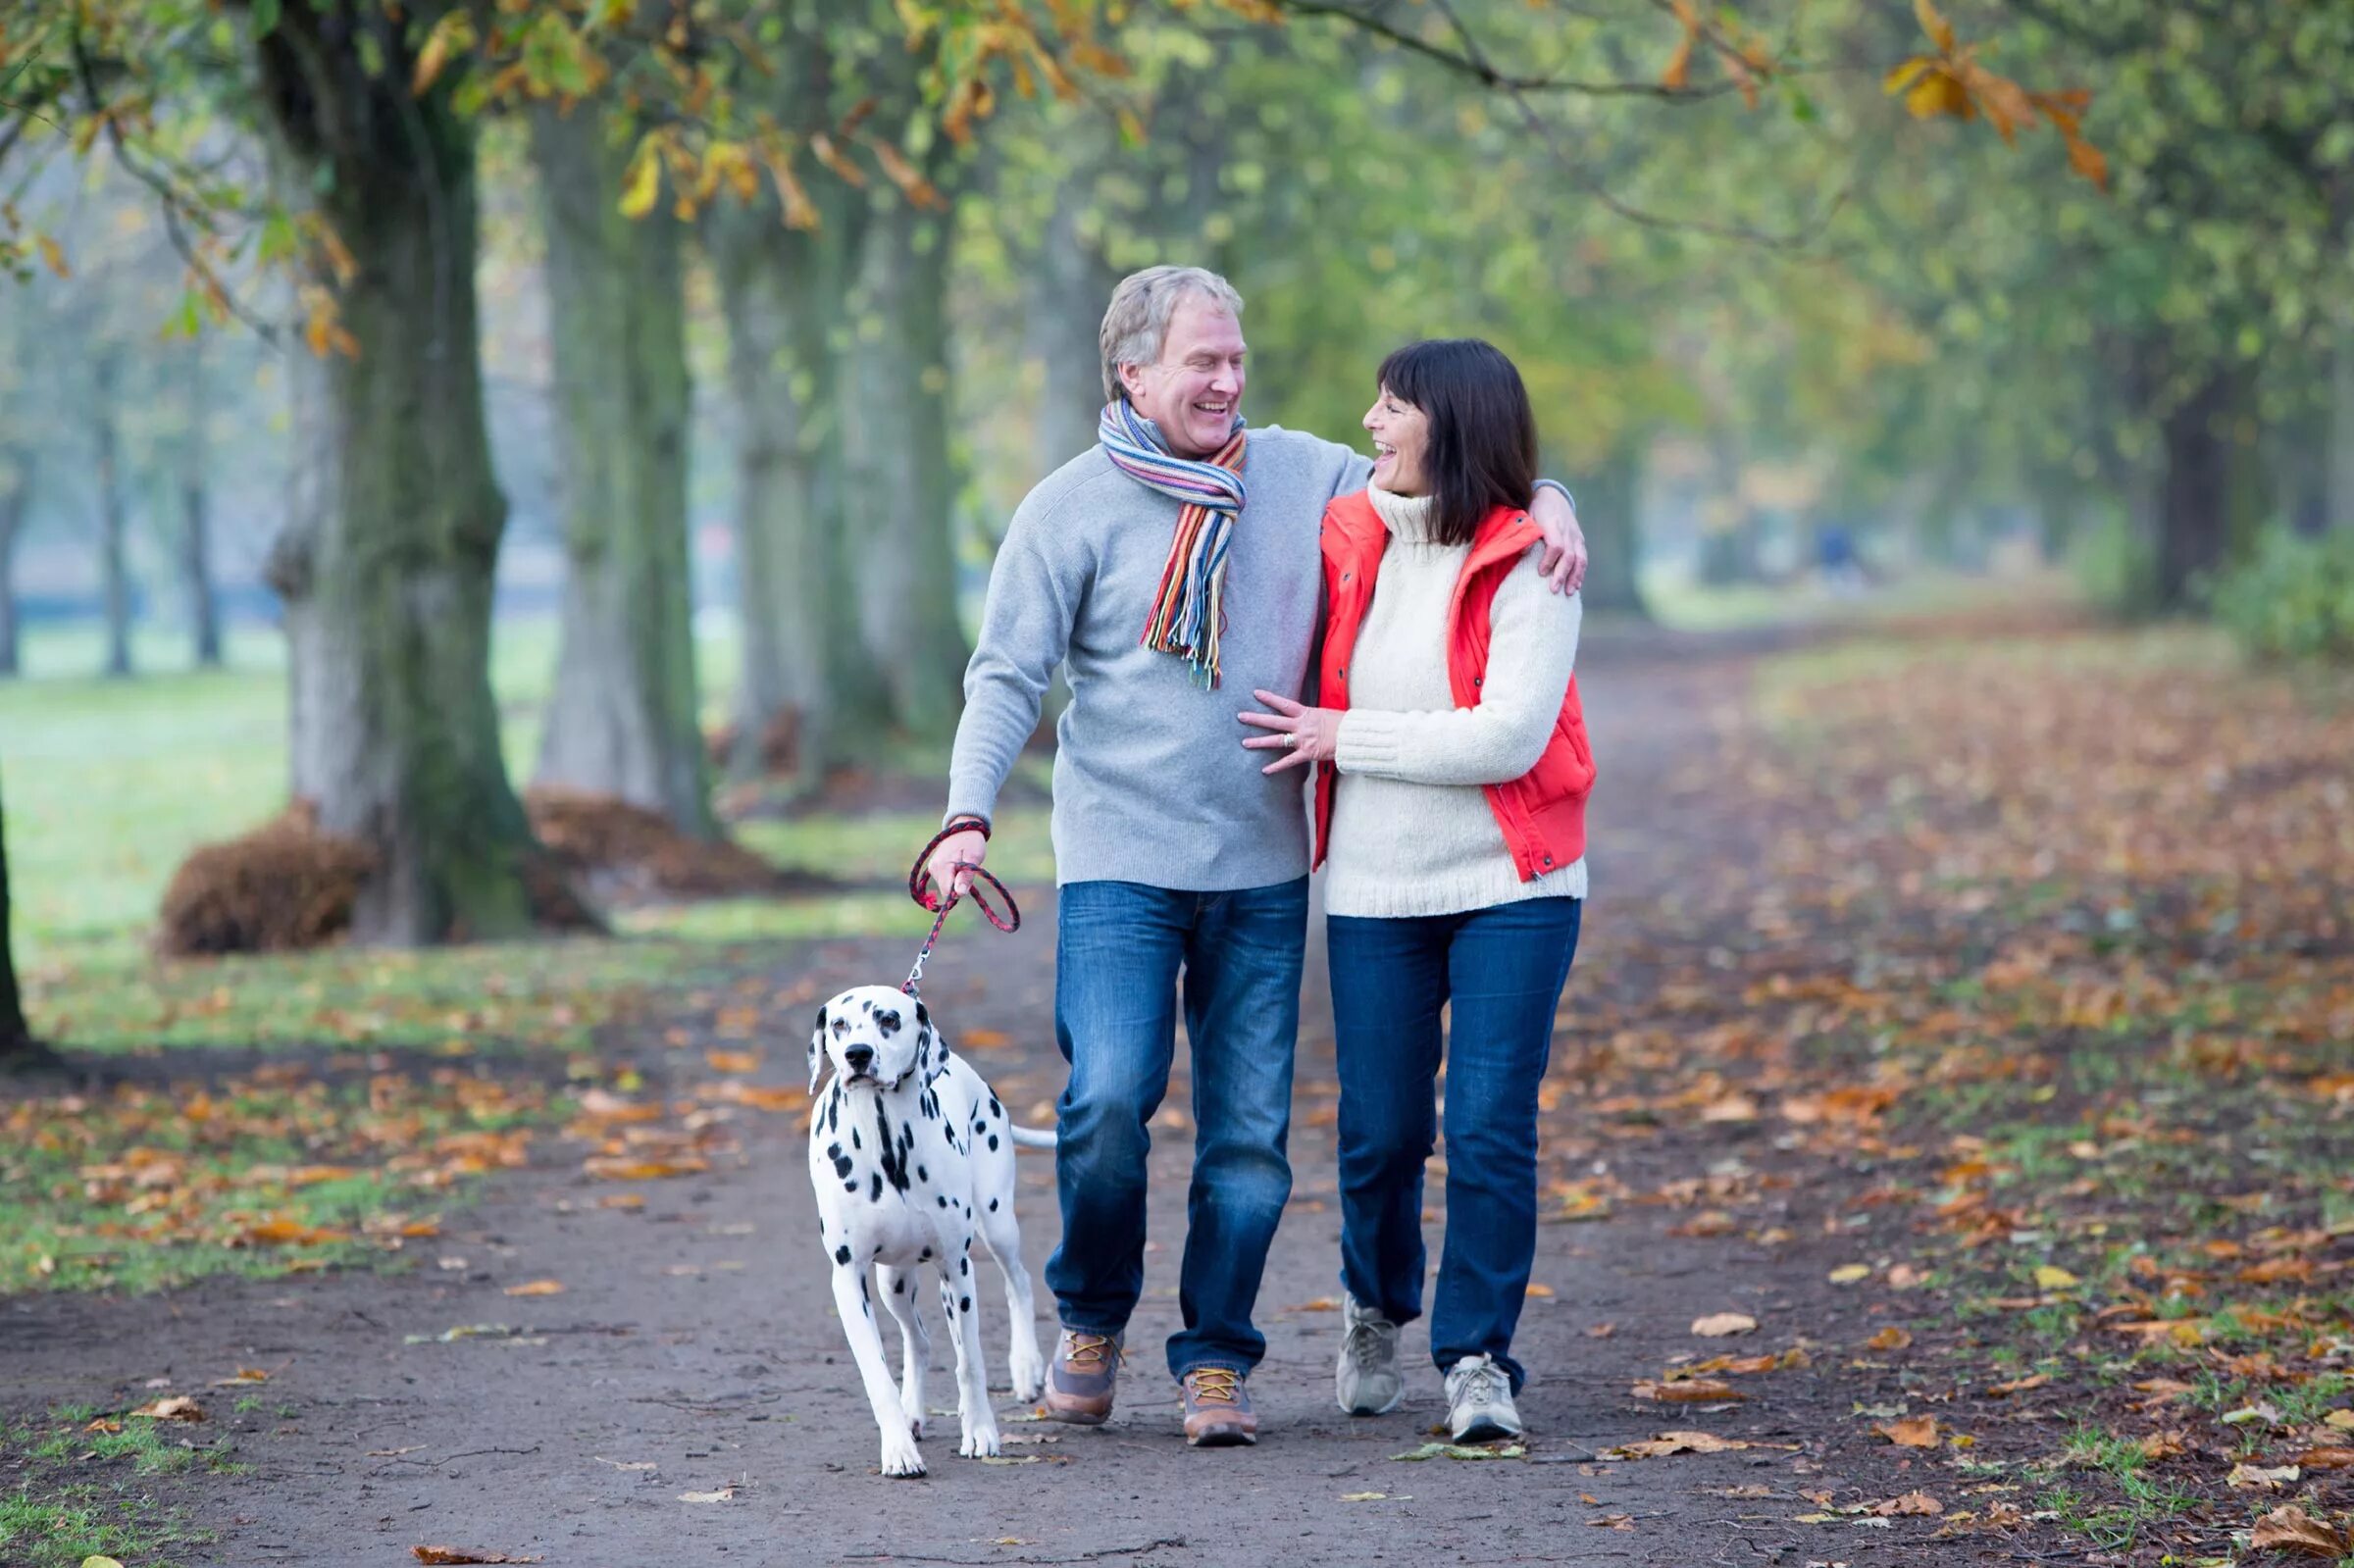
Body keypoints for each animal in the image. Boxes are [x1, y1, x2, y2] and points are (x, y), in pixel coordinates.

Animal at [809, 984, 1059, 1469]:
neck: (887, 1141)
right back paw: (912, 1413)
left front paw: (980, 1431)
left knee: (1018, 1282)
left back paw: (1025, 1367)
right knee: (919, 1340)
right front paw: (897, 1448)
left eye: (889, 1019)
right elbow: (877, 1375)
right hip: (892, 1282)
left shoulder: (956, 1270)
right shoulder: (848, 1279)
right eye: (840, 1025)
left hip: (997, 1224)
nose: (857, 1054)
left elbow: (970, 1363)